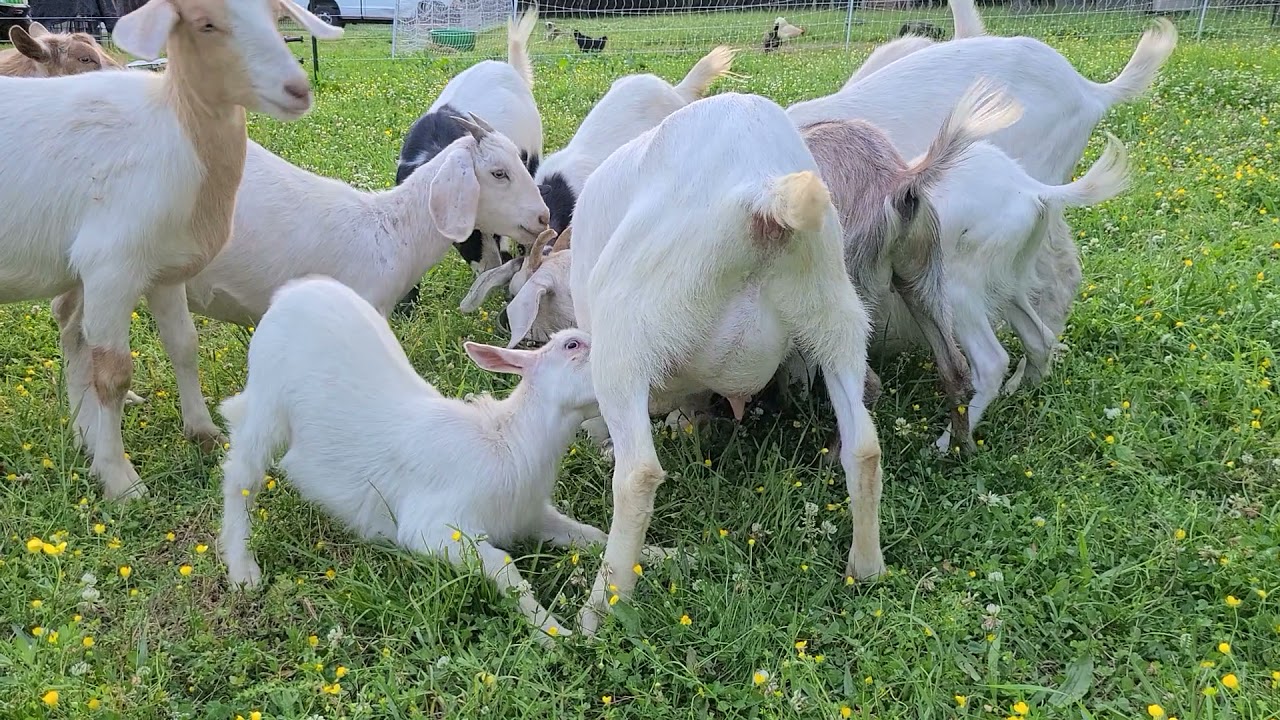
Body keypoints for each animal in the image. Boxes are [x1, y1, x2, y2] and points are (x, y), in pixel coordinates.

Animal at [0, 0, 341, 500]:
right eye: (206, 24)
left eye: (278, 18)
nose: (297, 89)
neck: (174, 134)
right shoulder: (110, 269)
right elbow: (114, 374)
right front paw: (120, 480)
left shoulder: (164, 269)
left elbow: (184, 345)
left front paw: (203, 432)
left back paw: (83, 431)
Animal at [217, 276, 620, 641]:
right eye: (572, 344)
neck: (507, 442)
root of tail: (294, 289)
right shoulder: (433, 527)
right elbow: (503, 566)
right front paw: (552, 631)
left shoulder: (529, 514)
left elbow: (591, 536)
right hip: (267, 400)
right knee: (241, 476)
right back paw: (243, 569)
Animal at [561, 93, 885, 635]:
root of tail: (762, 195)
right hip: (833, 309)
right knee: (864, 447)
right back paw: (866, 568)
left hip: (629, 326)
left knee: (638, 474)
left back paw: (600, 611)